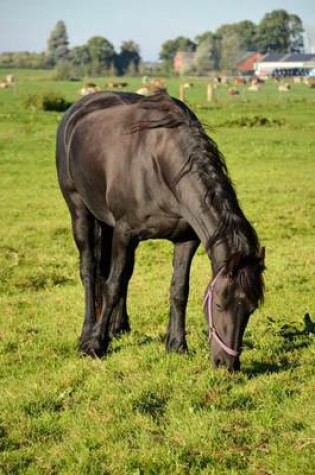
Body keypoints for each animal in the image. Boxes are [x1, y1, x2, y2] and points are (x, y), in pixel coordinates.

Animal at [56, 92, 264, 372]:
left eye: (251, 308)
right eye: (219, 303)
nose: (227, 364)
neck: (160, 165)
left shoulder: (186, 239)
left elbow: (178, 290)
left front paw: (176, 344)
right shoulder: (125, 233)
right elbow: (112, 286)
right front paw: (95, 345)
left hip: (106, 222)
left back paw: (118, 327)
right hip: (79, 211)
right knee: (90, 271)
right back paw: (88, 332)